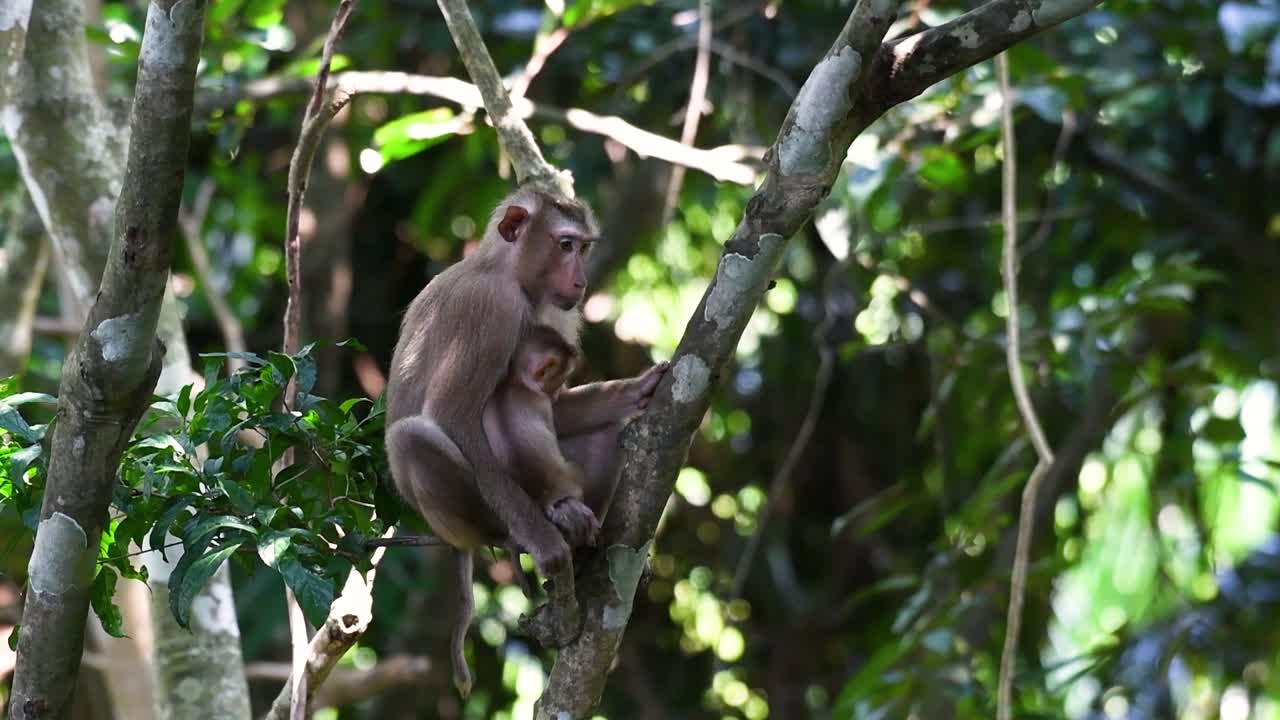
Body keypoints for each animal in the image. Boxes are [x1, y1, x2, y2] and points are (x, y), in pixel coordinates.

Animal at [384, 186, 669, 697]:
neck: (504, 269)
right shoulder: (492, 310)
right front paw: (543, 541)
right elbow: (453, 416)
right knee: (411, 437)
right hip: (466, 516)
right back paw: (523, 532)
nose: (579, 281)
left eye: (584, 247)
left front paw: (633, 391)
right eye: (565, 244)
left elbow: (553, 407)